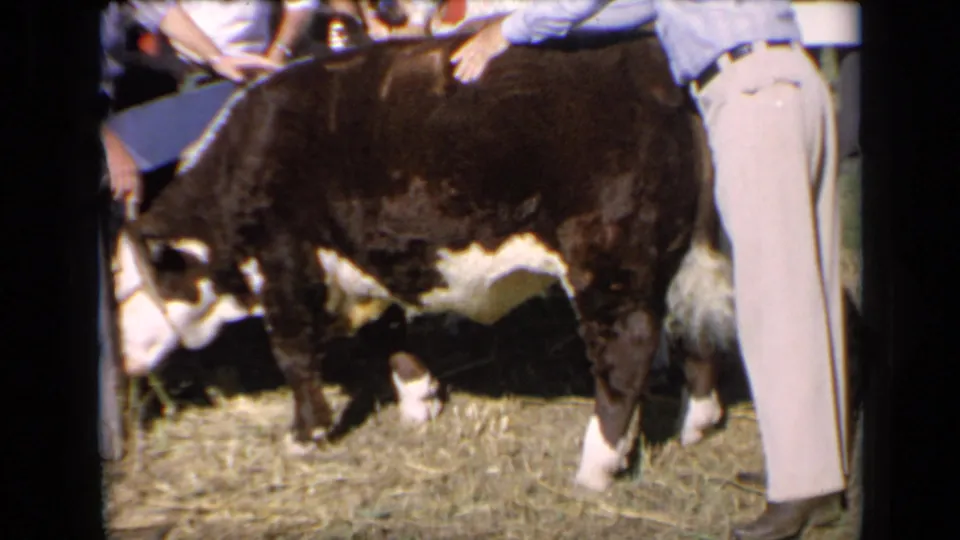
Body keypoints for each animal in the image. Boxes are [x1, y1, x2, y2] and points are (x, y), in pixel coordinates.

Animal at [116, 27, 737, 492]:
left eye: (122, 287)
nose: (119, 358)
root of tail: (655, 61)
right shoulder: (370, 258)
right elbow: (390, 334)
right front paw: (418, 402)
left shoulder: (284, 263)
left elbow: (294, 354)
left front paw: (306, 434)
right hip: (679, 254)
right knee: (696, 331)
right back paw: (699, 421)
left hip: (608, 260)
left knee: (627, 350)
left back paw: (596, 467)